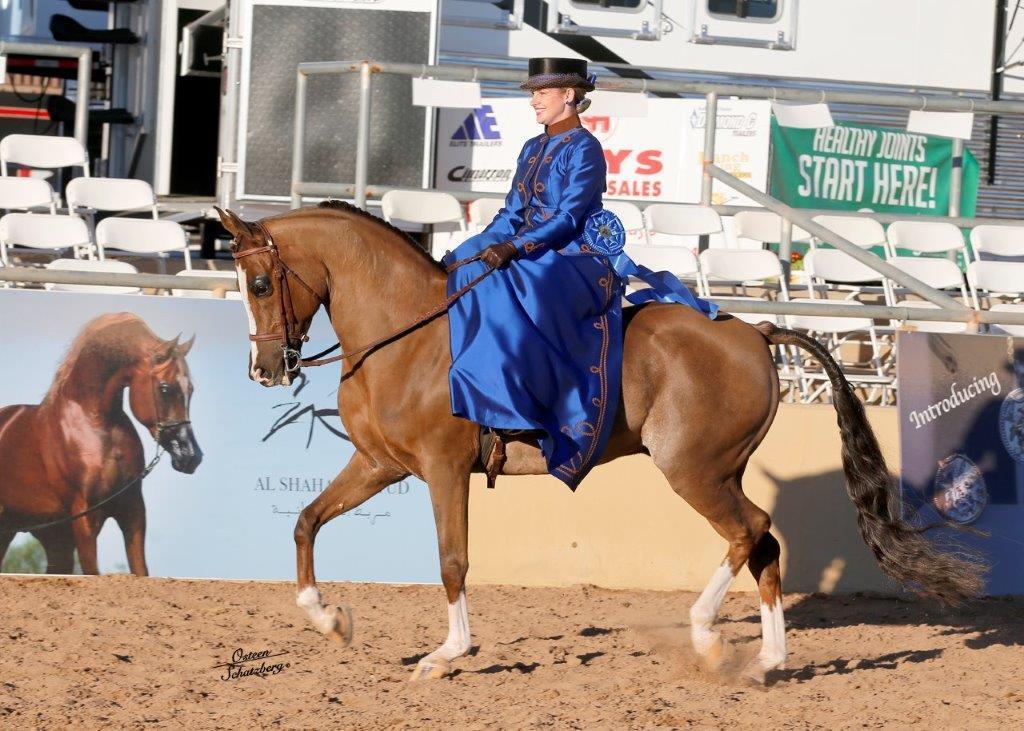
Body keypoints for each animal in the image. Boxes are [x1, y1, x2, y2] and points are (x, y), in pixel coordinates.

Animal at [0, 312, 202, 575]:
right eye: (165, 388)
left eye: (191, 389)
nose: (191, 456)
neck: (97, 426)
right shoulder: (85, 518)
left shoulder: (133, 511)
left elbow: (141, 571)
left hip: (49, 536)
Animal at [218, 202, 983, 684]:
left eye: (259, 282)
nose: (264, 369)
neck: (408, 335)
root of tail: (753, 330)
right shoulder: (378, 464)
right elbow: (306, 520)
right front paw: (328, 619)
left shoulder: (443, 470)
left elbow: (453, 560)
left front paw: (447, 653)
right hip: (720, 472)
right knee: (763, 543)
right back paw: (767, 662)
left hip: (693, 471)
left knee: (751, 530)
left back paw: (704, 634)